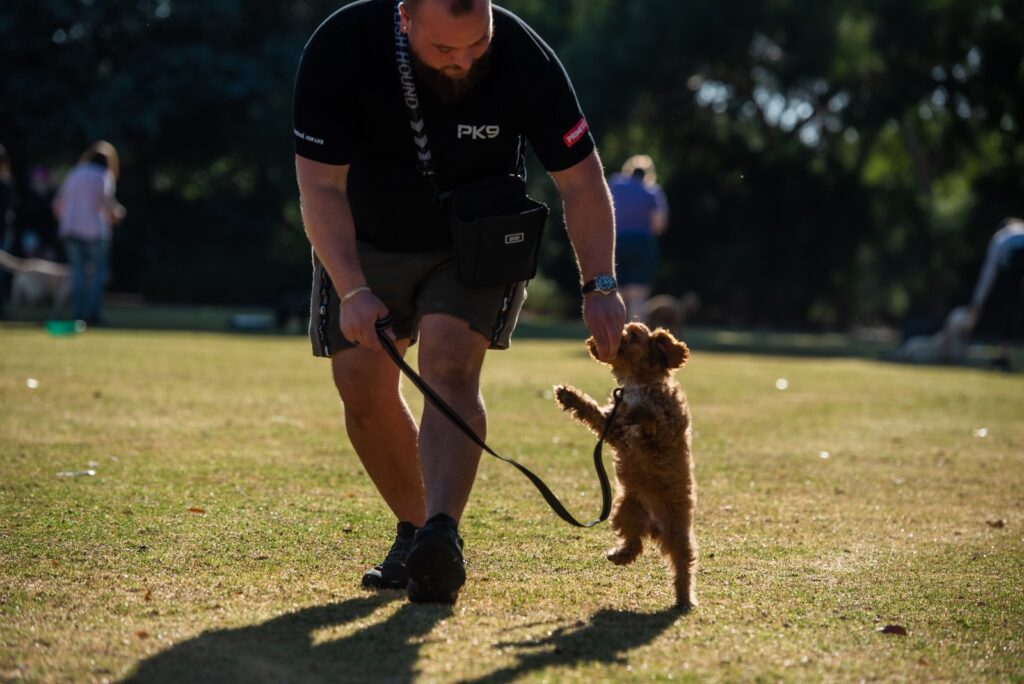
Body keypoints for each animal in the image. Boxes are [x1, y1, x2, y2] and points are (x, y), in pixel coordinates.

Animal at [557, 323, 700, 610]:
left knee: (683, 566)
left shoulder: (667, 429)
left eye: (632, 335)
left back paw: (684, 598)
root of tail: (653, 525)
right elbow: (591, 411)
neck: (638, 385)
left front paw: (640, 412)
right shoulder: (613, 429)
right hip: (624, 510)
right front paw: (569, 395)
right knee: (634, 543)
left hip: (678, 533)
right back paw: (620, 554)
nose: (605, 337)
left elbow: (651, 416)